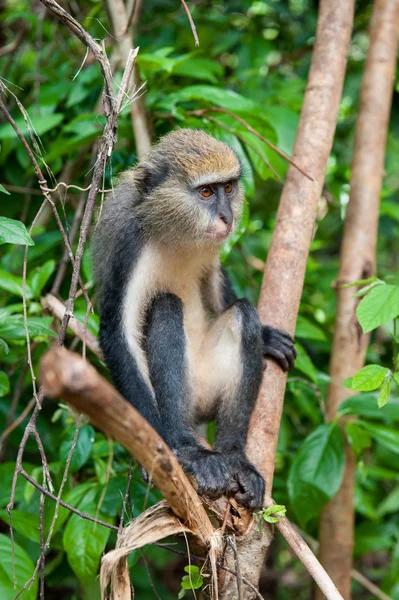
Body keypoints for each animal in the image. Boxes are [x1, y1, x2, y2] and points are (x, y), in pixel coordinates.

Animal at [92, 129, 296, 508]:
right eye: (205, 193)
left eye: (227, 188)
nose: (226, 217)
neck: (174, 232)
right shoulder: (128, 245)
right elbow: (118, 334)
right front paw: (168, 448)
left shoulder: (212, 250)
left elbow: (215, 288)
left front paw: (268, 336)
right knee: (165, 307)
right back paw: (189, 450)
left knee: (243, 314)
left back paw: (234, 457)